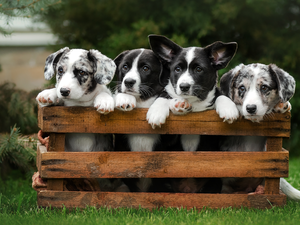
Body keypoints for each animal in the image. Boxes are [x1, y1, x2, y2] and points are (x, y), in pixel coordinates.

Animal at [36, 47, 127, 192]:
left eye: (82, 72)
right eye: (60, 70)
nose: (64, 91)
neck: (79, 103)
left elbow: (103, 93)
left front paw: (104, 101)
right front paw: (49, 93)